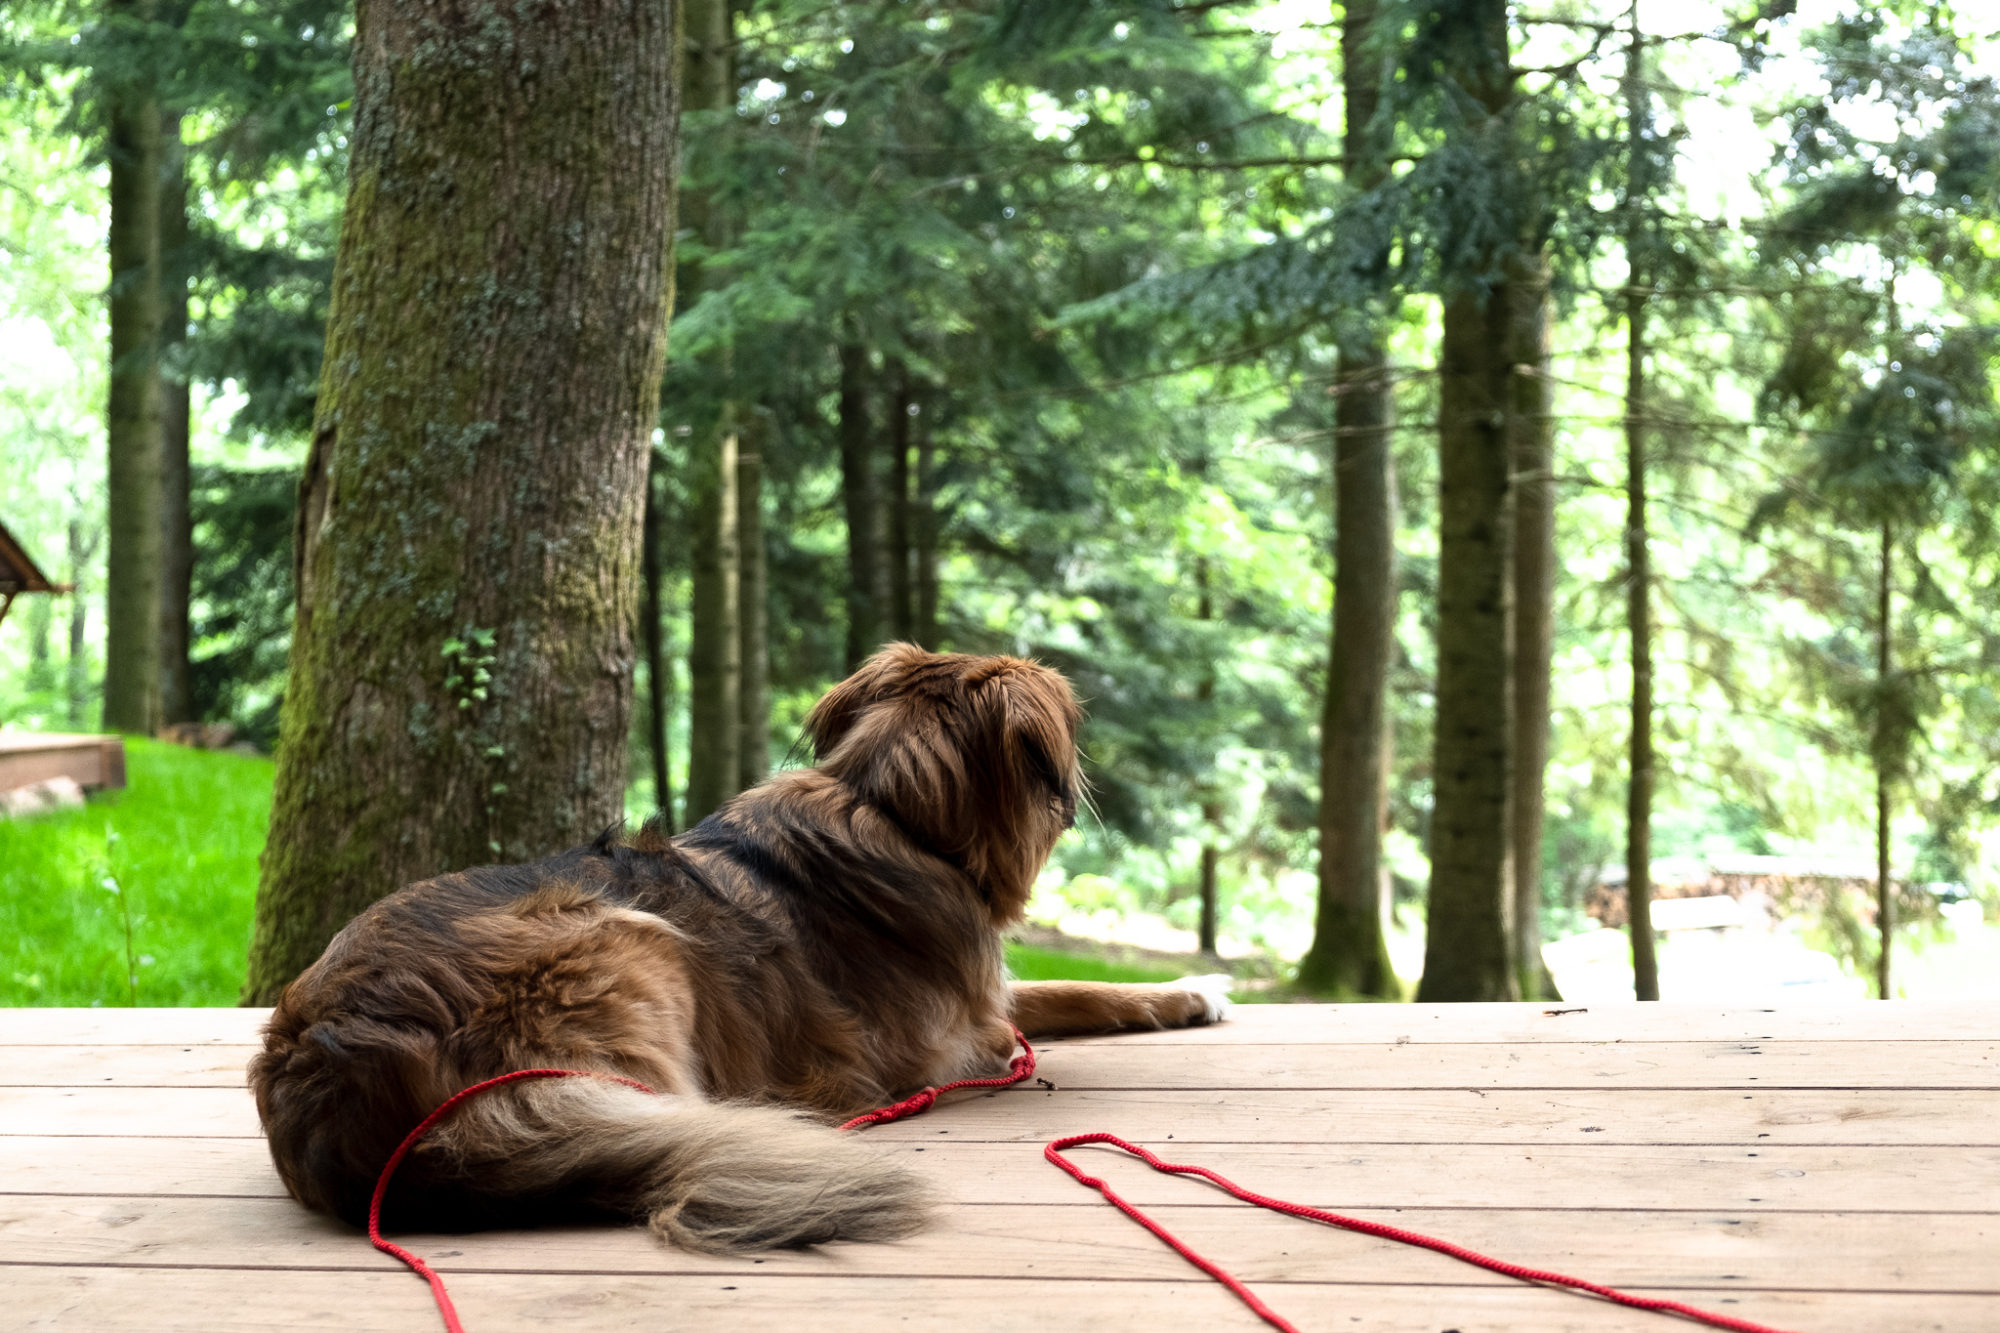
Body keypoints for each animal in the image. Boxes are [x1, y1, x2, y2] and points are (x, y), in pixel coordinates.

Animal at [256, 644, 1224, 1248]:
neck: (892, 811)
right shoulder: (951, 1039)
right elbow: (1047, 1011)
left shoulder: (984, 1002)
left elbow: (1068, 992)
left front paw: (1187, 992)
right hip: (634, 943)